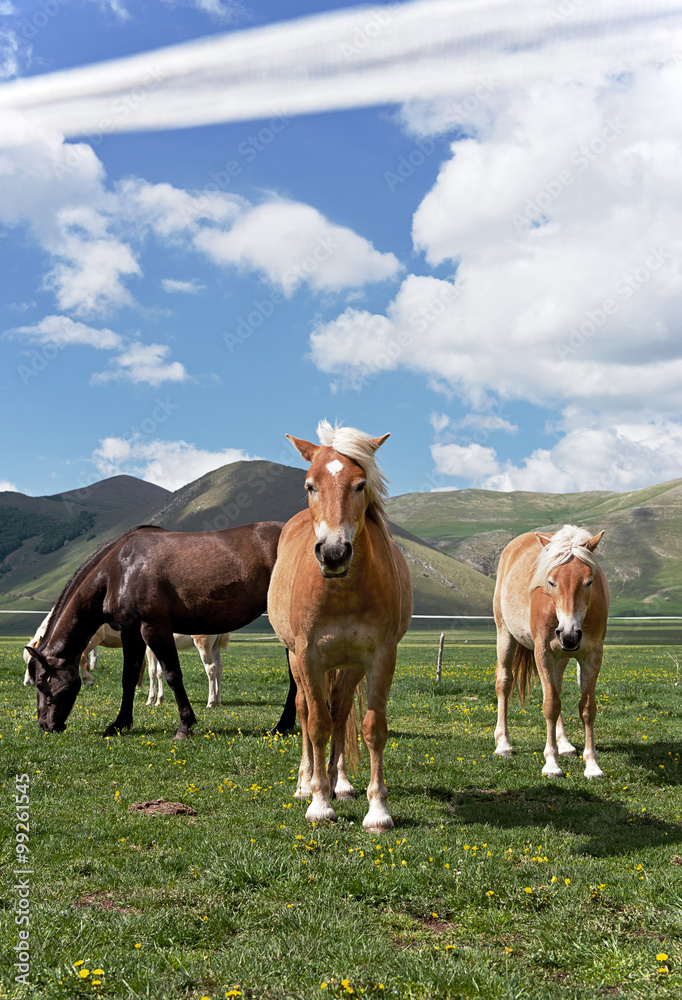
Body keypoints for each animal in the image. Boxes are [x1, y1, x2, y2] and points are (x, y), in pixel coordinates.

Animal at [25, 521, 287, 739]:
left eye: (41, 683)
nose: (45, 726)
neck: (118, 569)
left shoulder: (153, 628)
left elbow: (171, 674)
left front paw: (185, 725)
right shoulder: (131, 632)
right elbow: (129, 677)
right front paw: (119, 724)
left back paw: (282, 725)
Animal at [268, 421, 413, 833]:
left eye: (361, 484)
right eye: (309, 485)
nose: (333, 553)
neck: (344, 589)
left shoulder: (380, 657)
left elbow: (370, 727)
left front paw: (377, 810)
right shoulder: (309, 656)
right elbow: (317, 723)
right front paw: (318, 803)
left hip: (349, 667)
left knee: (342, 711)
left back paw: (340, 782)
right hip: (297, 660)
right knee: (306, 711)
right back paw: (307, 782)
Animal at [493, 524, 609, 779]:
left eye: (589, 581)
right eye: (551, 582)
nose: (569, 635)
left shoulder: (592, 655)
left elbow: (587, 707)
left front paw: (592, 765)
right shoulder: (543, 653)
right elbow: (550, 705)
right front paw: (551, 764)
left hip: (561, 658)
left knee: (556, 687)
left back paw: (564, 745)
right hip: (505, 634)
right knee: (504, 683)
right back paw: (503, 744)